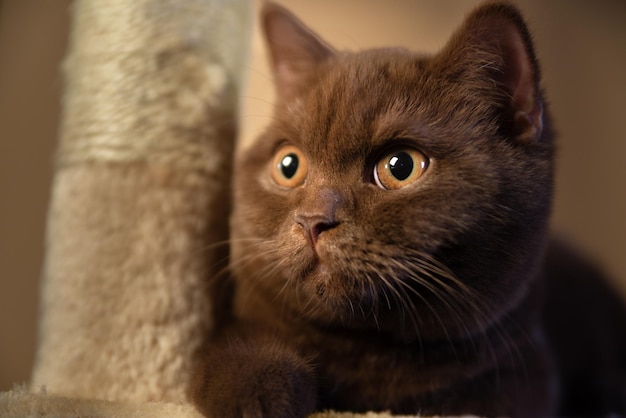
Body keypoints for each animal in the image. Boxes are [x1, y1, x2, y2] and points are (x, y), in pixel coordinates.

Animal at [190, 3, 624, 418]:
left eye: (400, 167)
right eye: (288, 165)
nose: (313, 221)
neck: (365, 355)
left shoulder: (527, 373)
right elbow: (235, 352)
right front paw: (261, 394)